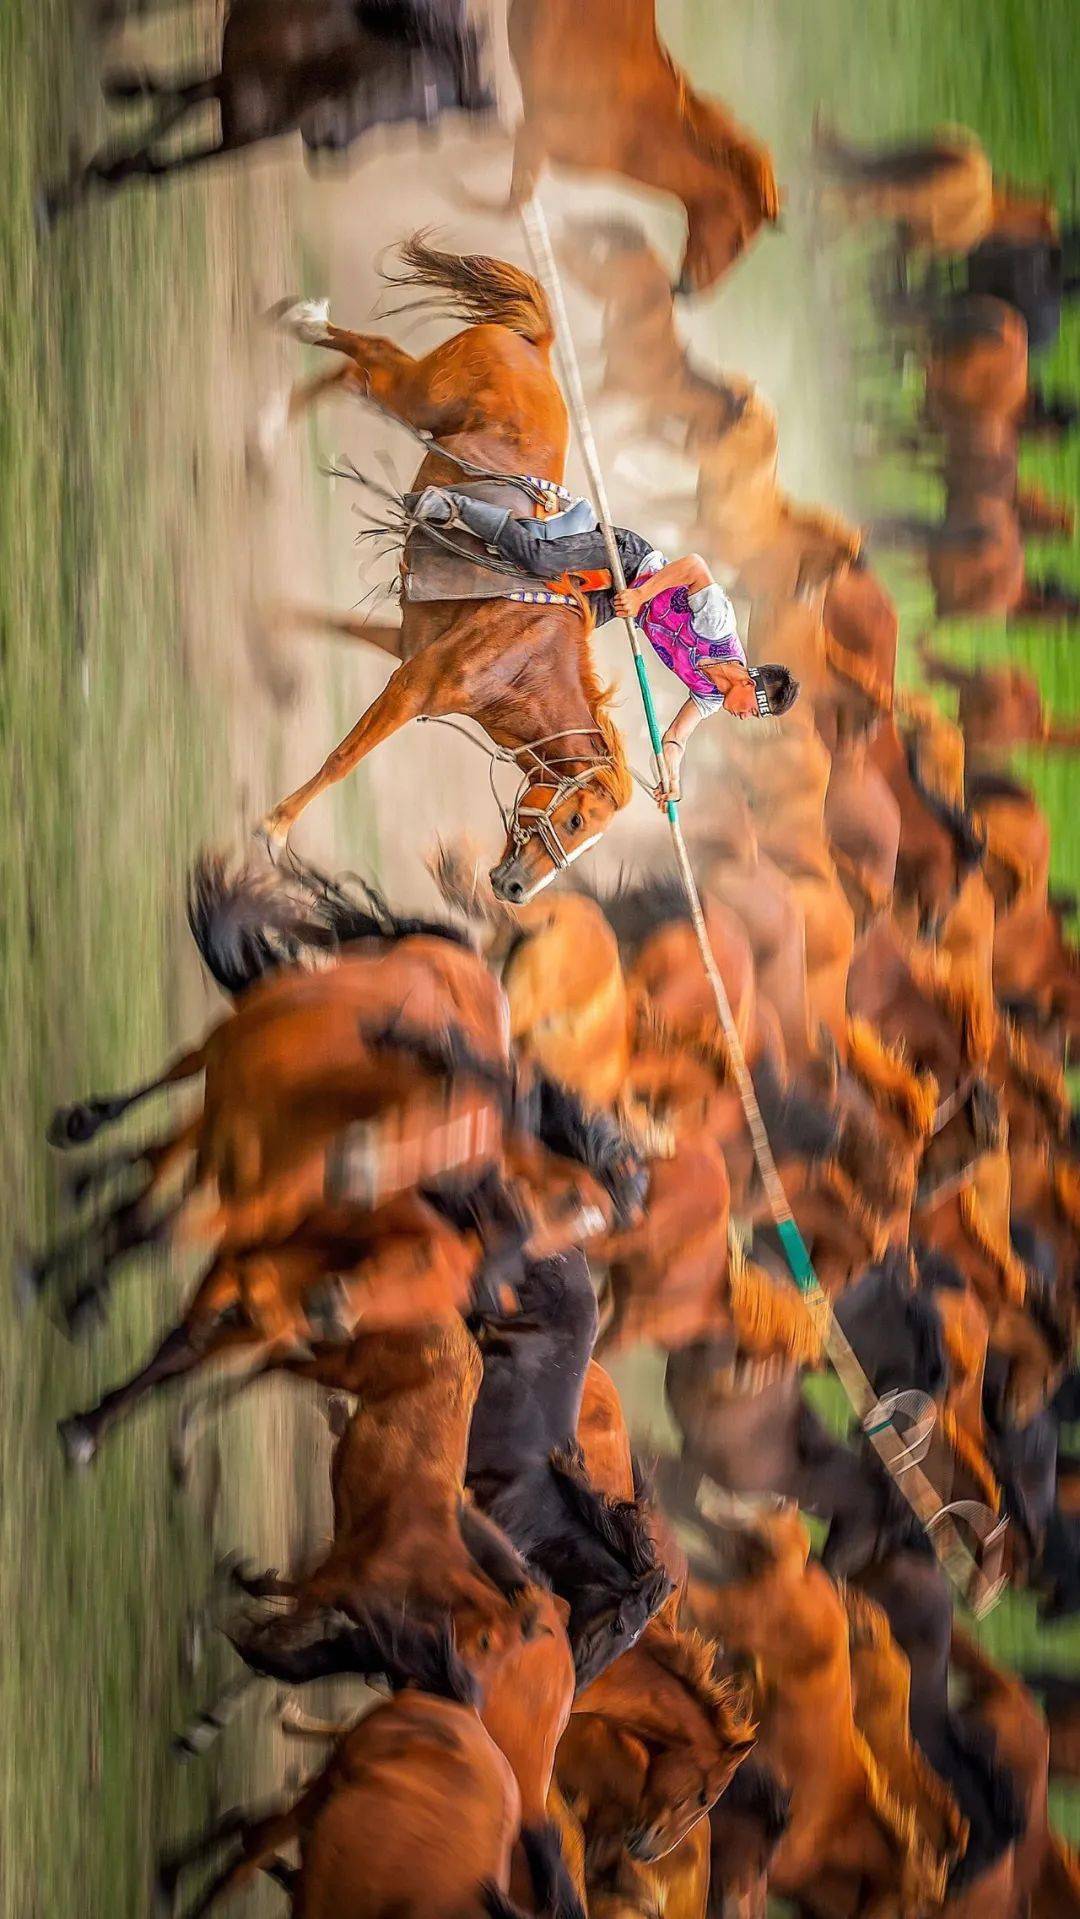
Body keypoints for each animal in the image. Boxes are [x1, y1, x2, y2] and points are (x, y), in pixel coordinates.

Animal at [43, 0, 492, 218]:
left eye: (428, 127)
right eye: (422, 84)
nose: (330, 146)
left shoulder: (242, 125)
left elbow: (166, 160)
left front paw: (93, 180)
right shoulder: (230, 82)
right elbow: (166, 123)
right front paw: (64, 196)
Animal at [254, 238, 633, 903]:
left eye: (586, 843)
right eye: (576, 820)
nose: (516, 891)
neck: (523, 661)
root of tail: (537, 350)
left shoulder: (405, 648)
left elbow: (324, 625)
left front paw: (268, 632)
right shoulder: (411, 689)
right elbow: (342, 759)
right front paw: (275, 830)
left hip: (411, 404)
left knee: (352, 378)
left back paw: (268, 437)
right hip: (419, 394)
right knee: (371, 357)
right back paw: (302, 324)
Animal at [506, 0, 780, 295]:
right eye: (737, 243)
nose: (686, 290)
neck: (643, 127)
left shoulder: (529, 133)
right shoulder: (536, 135)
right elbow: (516, 210)